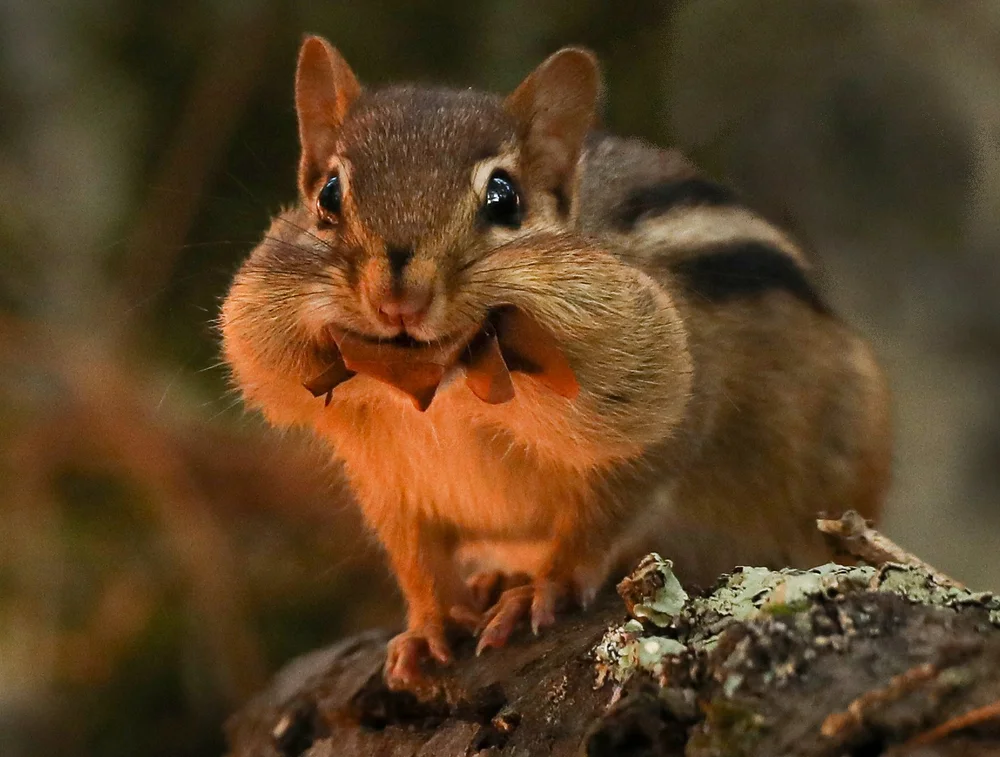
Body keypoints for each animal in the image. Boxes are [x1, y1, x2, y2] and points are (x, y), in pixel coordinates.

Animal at [219, 36, 892, 692]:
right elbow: (416, 557)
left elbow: (598, 520)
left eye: (504, 197)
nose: (398, 299)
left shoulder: (660, 428)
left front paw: (539, 592)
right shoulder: (384, 478)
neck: (446, 395)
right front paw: (429, 625)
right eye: (328, 195)